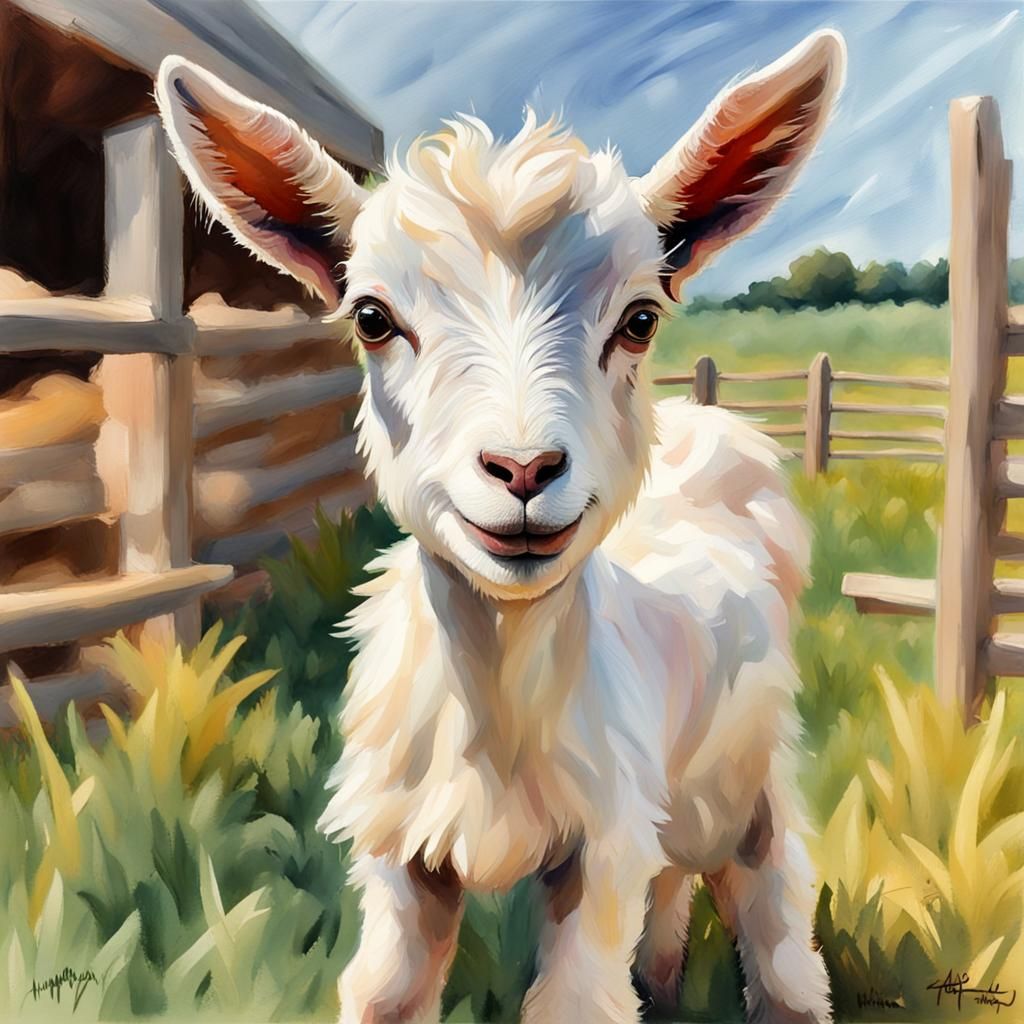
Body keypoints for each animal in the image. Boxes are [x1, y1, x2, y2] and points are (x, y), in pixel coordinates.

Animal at [157, 29, 845, 1023]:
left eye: (641, 319)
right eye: (372, 318)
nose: (523, 471)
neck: (499, 711)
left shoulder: (599, 849)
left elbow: (577, 1000)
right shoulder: (400, 856)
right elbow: (383, 990)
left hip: (746, 776)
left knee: (772, 900)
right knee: (674, 883)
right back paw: (666, 978)